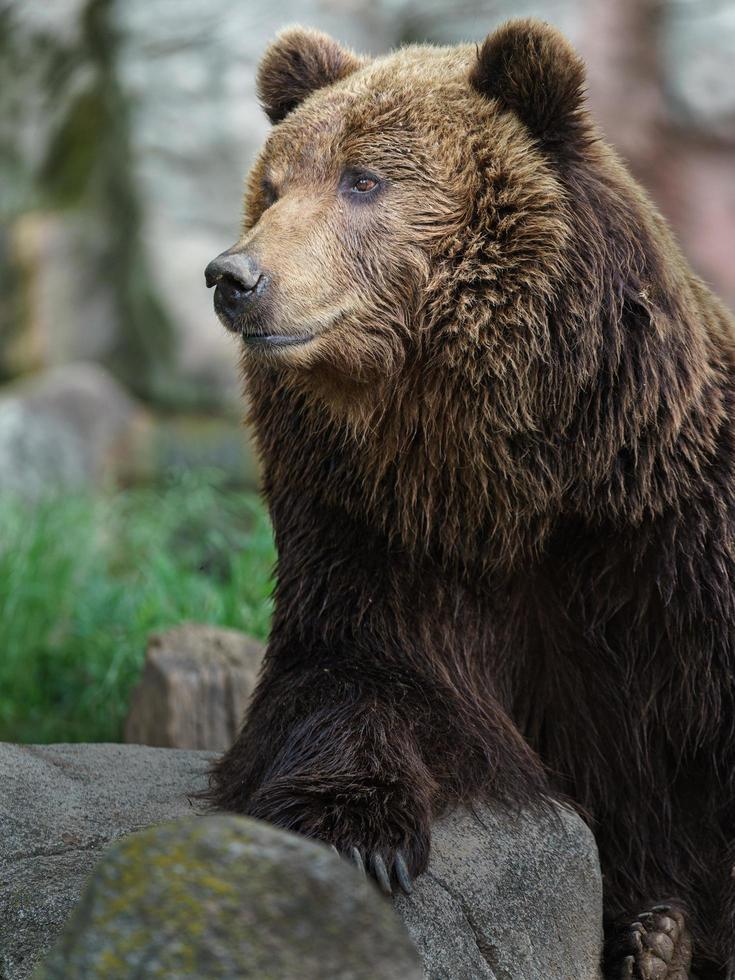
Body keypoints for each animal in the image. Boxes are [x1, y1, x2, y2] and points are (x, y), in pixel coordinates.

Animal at [204, 21, 735, 980]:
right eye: (273, 185)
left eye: (363, 179)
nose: (234, 276)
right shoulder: (371, 532)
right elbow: (350, 678)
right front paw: (357, 831)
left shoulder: (673, 540)